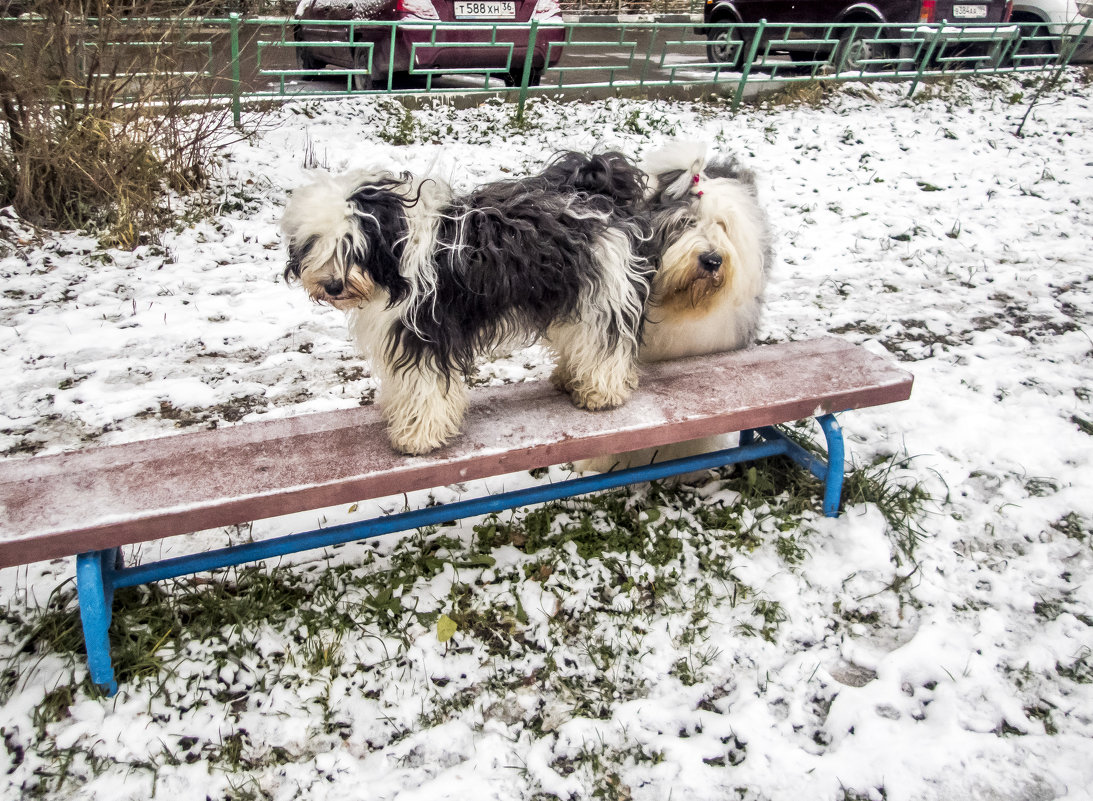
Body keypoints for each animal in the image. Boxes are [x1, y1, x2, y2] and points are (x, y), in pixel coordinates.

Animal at [281, 151, 651, 452]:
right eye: (314, 242)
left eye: (352, 244)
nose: (332, 285)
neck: (399, 254)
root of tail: (597, 195)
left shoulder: (425, 334)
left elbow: (425, 388)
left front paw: (417, 436)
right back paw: (570, 376)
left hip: (603, 298)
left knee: (606, 345)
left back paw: (601, 392)